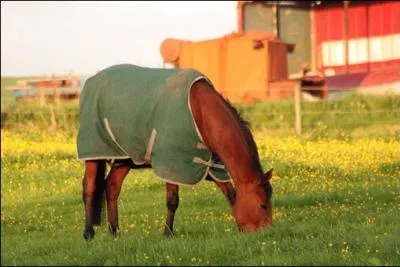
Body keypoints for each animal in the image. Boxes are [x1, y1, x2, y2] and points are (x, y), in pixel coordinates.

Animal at [78, 64, 272, 241]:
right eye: (263, 205)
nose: (264, 233)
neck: (198, 110)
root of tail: (91, 81)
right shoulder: (172, 163)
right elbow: (172, 200)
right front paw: (168, 233)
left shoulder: (211, 165)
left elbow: (231, 194)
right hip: (94, 152)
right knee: (89, 187)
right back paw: (88, 233)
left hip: (124, 158)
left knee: (112, 187)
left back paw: (115, 232)